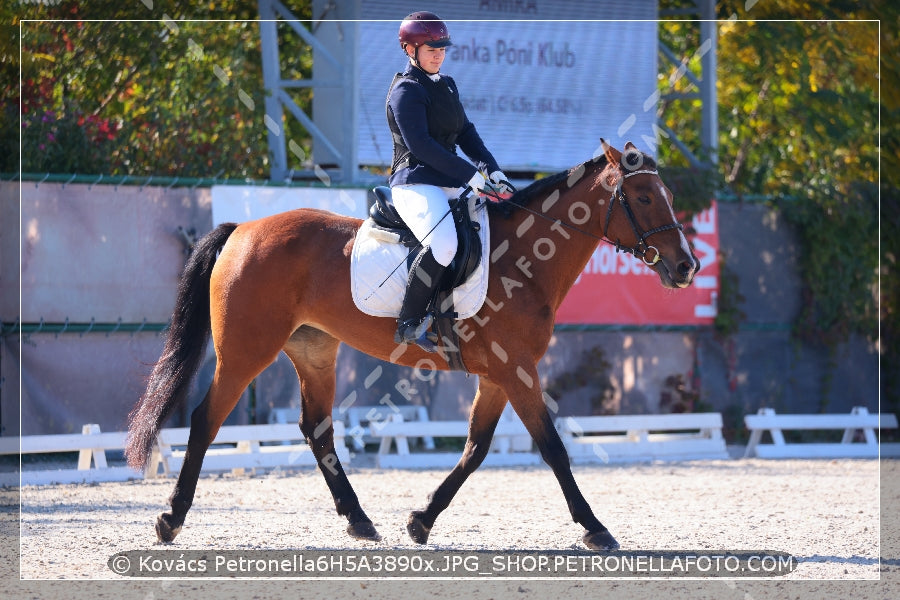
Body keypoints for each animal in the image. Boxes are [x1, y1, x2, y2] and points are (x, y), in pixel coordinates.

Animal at [126, 139, 700, 548]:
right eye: (643, 197)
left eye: (668, 197)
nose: (686, 267)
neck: (525, 258)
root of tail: (243, 227)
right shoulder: (515, 370)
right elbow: (553, 447)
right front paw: (594, 527)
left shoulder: (499, 374)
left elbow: (475, 449)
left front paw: (421, 520)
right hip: (246, 352)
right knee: (206, 420)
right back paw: (171, 519)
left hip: (315, 351)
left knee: (317, 430)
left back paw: (360, 521)